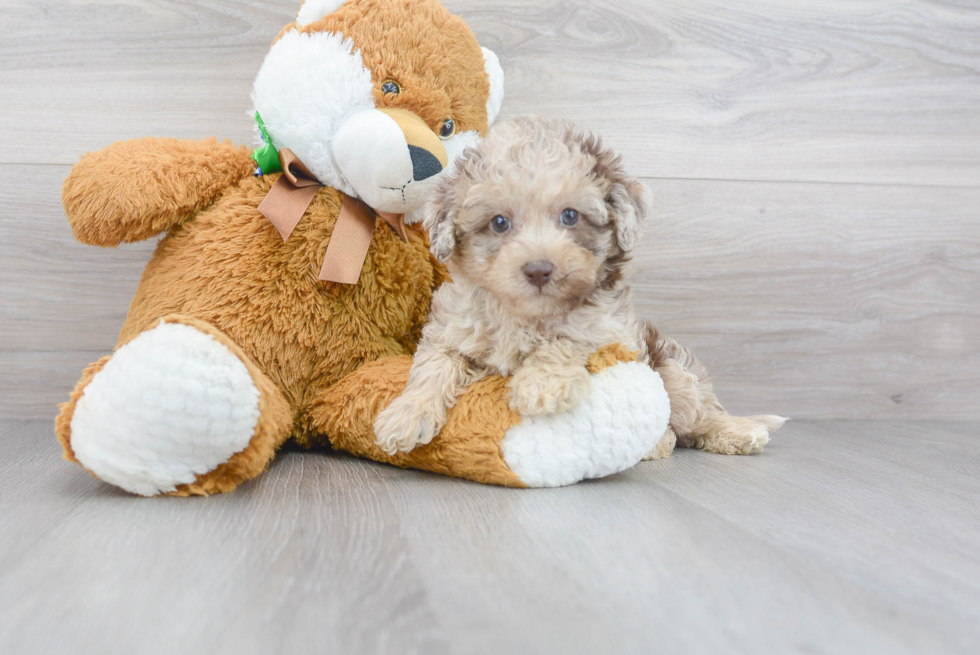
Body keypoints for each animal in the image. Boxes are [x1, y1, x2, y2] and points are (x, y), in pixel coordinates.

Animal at [372, 115, 784, 458]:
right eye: (500, 223)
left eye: (570, 216)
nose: (539, 270)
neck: (526, 315)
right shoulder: (453, 331)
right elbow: (434, 365)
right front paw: (404, 416)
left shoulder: (608, 329)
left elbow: (565, 338)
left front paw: (541, 385)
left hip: (675, 374)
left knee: (698, 415)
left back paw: (736, 433)